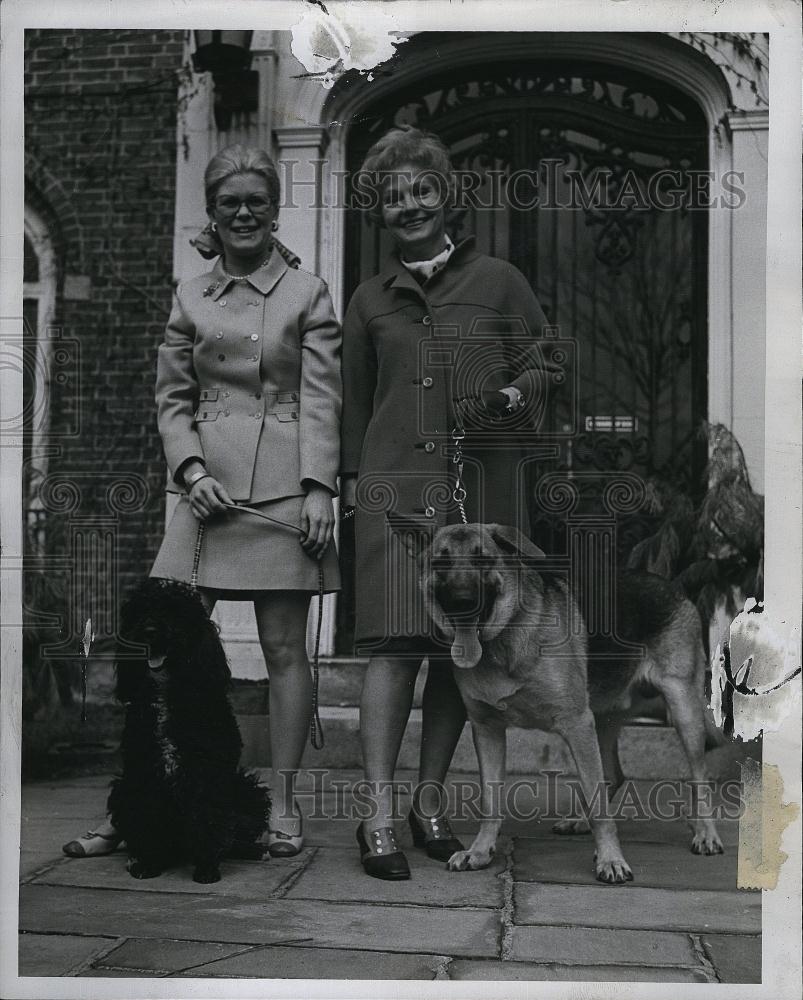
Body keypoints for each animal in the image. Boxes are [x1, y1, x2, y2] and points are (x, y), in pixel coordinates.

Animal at [392, 516, 724, 884]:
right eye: (441, 563)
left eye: (483, 560)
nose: (463, 602)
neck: (505, 639)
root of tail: (673, 586)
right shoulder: (487, 729)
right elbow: (491, 802)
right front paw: (479, 851)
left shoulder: (576, 723)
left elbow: (599, 806)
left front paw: (611, 860)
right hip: (602, 719)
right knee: (612, 774)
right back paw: (579, 821)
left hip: (681, 711)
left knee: (698, 777)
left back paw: (706, 834)